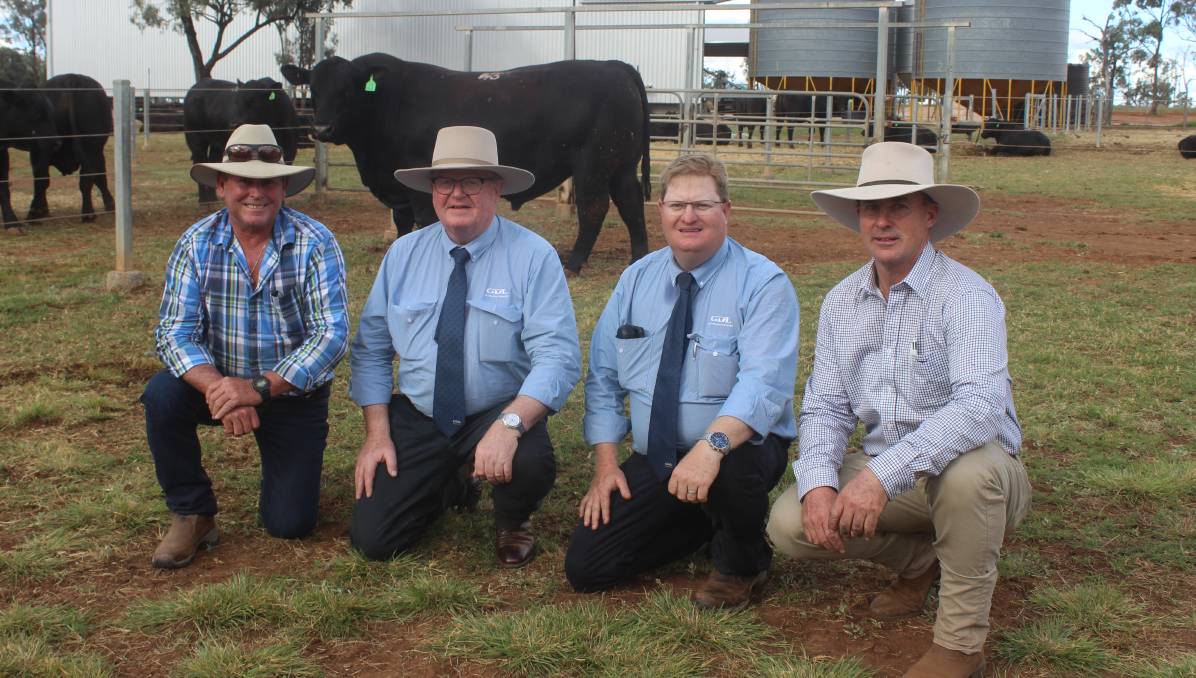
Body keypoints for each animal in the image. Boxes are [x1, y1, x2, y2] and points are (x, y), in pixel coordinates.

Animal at [26, 73, 114, 223]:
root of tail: (71, 78)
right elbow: (100, 177)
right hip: (91, 148)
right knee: (88, 178)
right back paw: (88, 213)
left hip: (45, 150)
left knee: (43, 178)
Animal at [279, 54, 650, 275]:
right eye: (314, 89)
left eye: (347, 90)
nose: (321, 129)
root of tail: (612, 66)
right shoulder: (396, 187)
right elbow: (401, 224)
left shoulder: (418, 184)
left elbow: (424, 221)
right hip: (621, 165)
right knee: (631, 205)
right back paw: (638, 258)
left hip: (593, 164)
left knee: (594, 209)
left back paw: (573, 263)